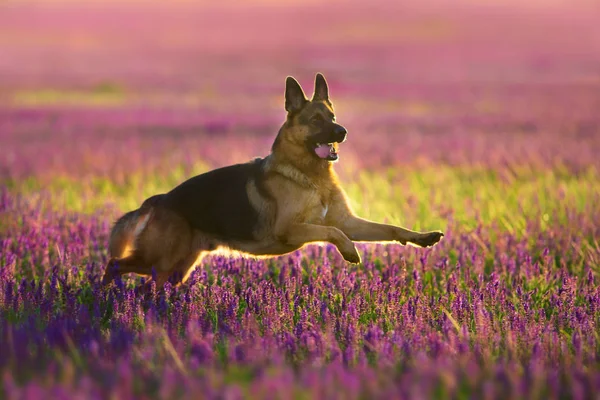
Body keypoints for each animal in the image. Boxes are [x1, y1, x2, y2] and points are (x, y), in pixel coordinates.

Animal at [102, 73, 440, 290]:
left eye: (332, 116)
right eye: (316, 120)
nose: (343, 132)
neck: (310, 175)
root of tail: (159, 199)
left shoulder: (350, 222)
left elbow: (390, 229)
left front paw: (422, 237)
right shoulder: (291, 229)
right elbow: (333, 232)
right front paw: (349, 251)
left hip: (175, 268)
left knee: (146, 286)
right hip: (161, 259)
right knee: (114, 264)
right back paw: (108, 295)